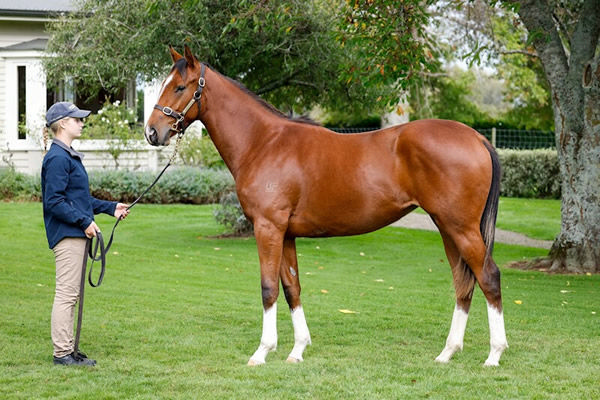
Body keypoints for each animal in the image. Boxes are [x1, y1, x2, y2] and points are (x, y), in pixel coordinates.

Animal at [144, 46, 506, 366]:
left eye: (180, 87)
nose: (152, 132)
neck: (264, 143)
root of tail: (476, 137)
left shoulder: (268, 228)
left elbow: (268, 288)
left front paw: (262, 352)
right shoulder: (286, 234)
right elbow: (292, 288)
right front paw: (297, 350)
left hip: (460, 228)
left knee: (488, 276)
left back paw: (494, 355)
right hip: (447, 227)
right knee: (463, 283)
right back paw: (447, 353)